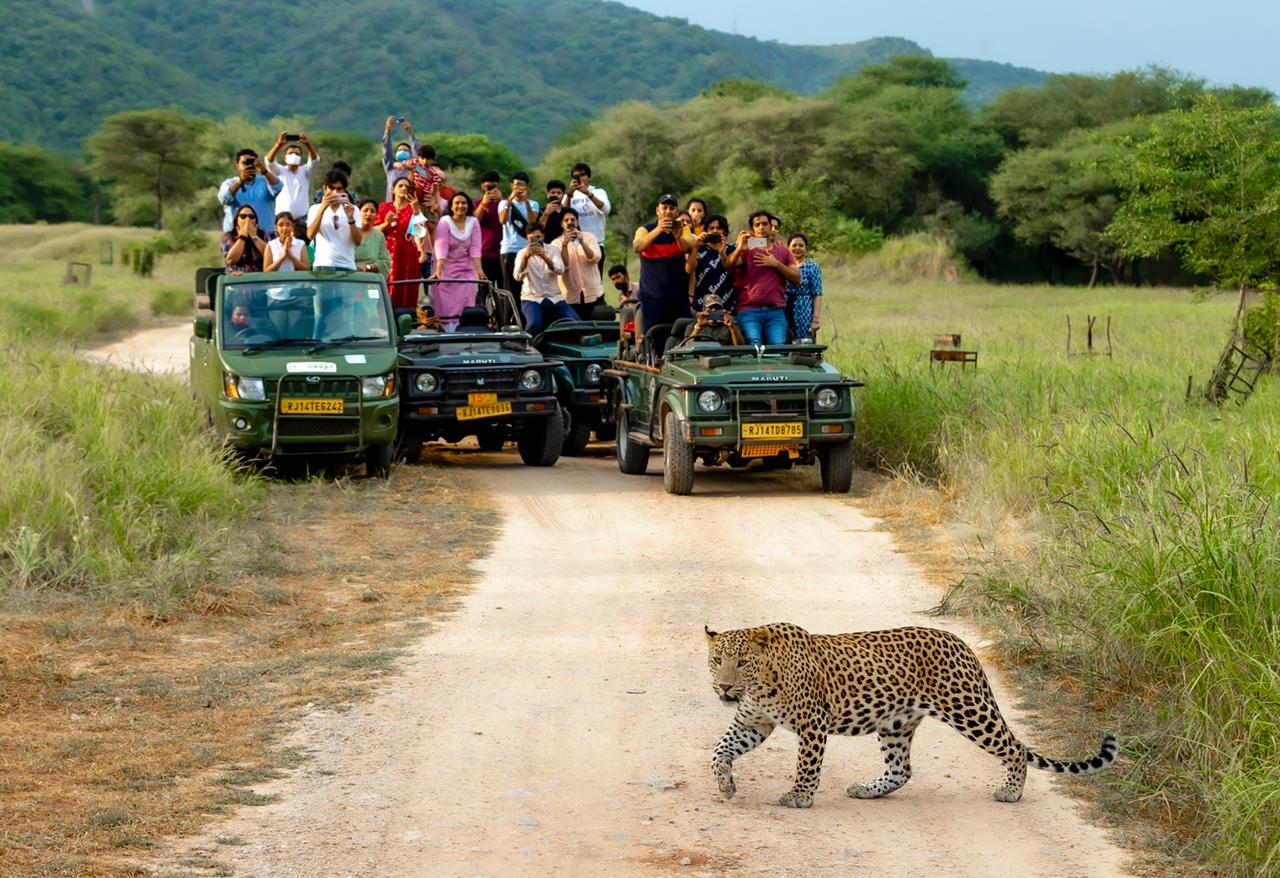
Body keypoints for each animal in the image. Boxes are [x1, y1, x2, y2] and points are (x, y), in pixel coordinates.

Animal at [706, 627, 1116, 814]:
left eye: (741, 662)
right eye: (716, 660)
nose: (724, 687)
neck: (760, 684)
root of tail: (962, 643)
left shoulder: (812, 724)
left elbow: (807, 765)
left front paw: (799, 797)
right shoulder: (752, 723)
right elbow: (719, 751)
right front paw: (726, 784)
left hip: (968, 709)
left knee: (1014, 746)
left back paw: (1011, 792)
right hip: (896, 725)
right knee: (901, 770)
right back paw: (867, 789)